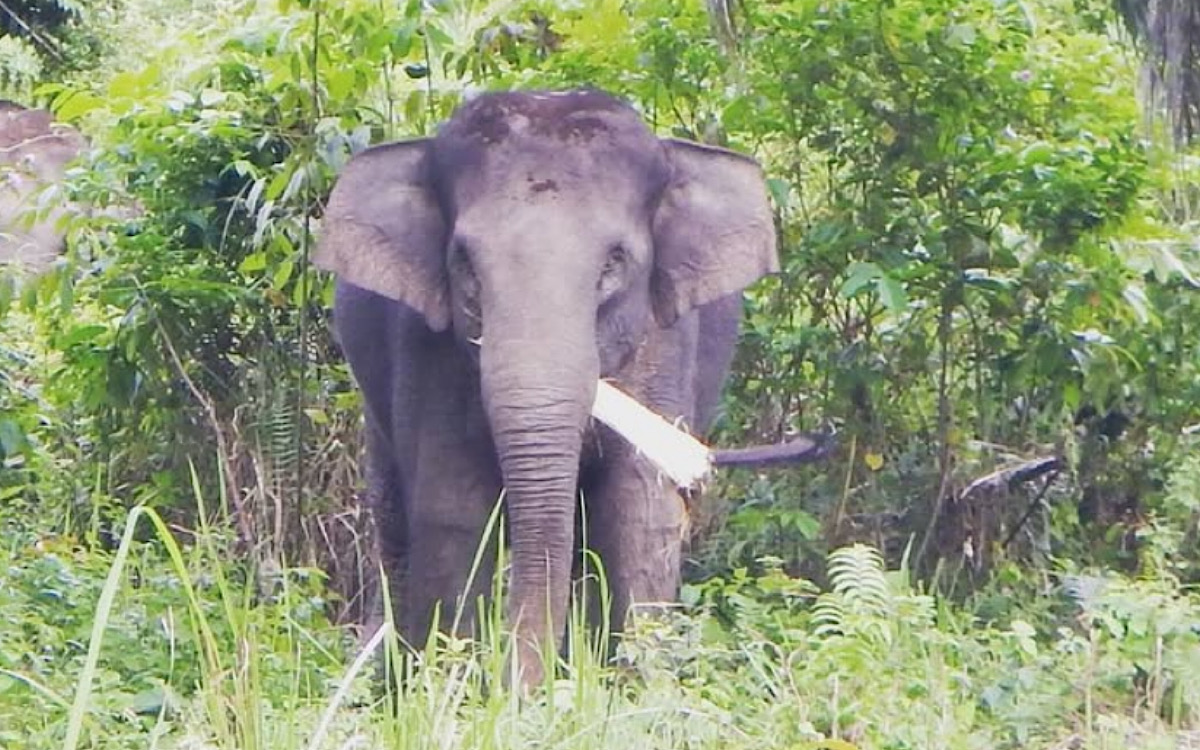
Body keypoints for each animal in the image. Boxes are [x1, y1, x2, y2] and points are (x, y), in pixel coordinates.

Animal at [319, 86, 782, 686]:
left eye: (614, 263)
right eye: (464, 264)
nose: (523, 687)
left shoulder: (666, 346)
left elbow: (639, 515)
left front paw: (629, 690)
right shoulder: (424, 347)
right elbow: (452, 512)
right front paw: (460, 688)